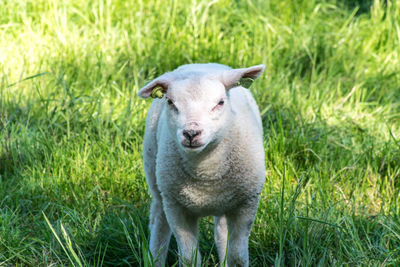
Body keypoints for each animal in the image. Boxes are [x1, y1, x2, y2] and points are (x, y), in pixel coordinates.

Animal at [138, 63, 266, 266]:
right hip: (156, 178)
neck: (206, 175)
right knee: (159, 221)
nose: (191, 133)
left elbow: (237, 256)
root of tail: (199, 65)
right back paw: (155, 257)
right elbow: (189, 258)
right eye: (170, 102)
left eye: (220, 102)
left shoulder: (246, 203)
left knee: (221, 233)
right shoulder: (176, 207)